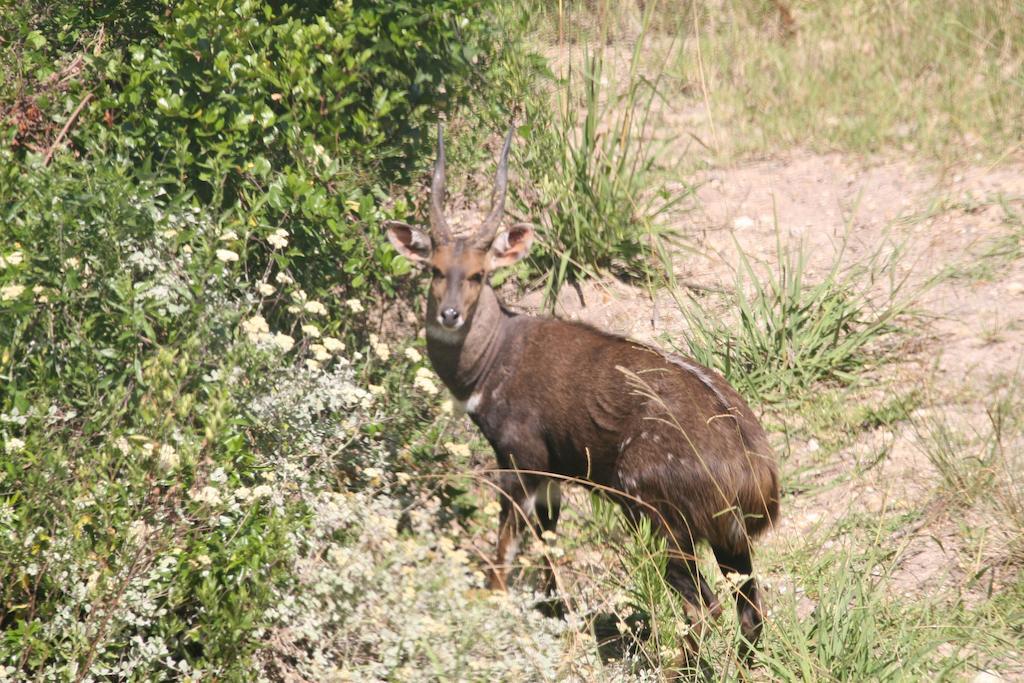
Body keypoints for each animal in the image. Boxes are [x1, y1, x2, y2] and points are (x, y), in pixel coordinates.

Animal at [387, 126, 778, 655]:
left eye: (478, 274)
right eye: (434, 268)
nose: (449, 315)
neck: (495, 359)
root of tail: (754, 475)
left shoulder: (522, 459)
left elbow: (504, 555)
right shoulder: (555, 475)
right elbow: (548, 547)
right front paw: (557, 615)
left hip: (655, 517)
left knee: (705, 608)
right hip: (728, 541)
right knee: (749, 612)